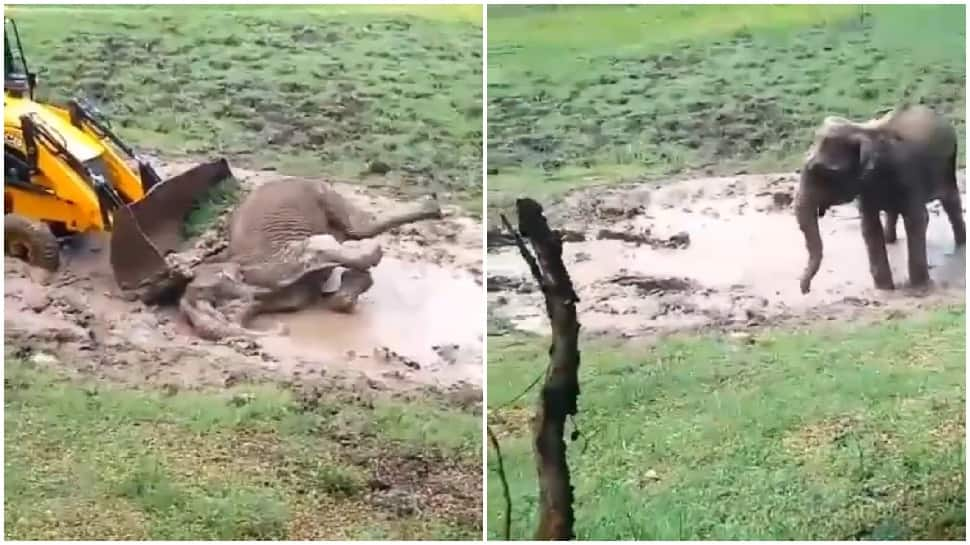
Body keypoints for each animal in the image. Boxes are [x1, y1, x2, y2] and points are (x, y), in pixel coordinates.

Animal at [796, 103, 960, 294]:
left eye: (825, 173)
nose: (806, 291)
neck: (862, 130)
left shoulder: (908, 175)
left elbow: (917, 219)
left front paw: (919, 286)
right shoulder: (865, 187)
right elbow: (870, 226)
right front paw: (885, 289)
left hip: (948, 165)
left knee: (951, 201)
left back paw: (961, 244)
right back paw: (890, 240)